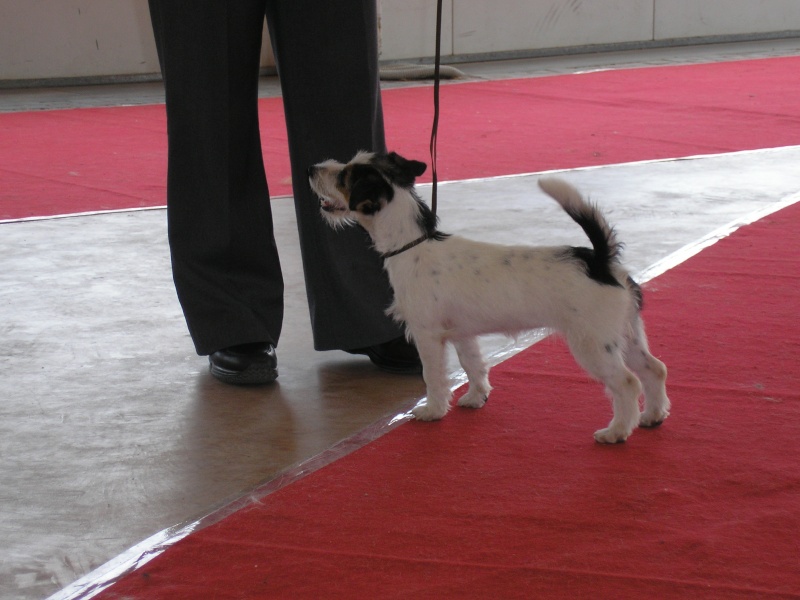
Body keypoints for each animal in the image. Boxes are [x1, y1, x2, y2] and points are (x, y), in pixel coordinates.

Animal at [310, 150, 672, 440]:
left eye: (344, 176)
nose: (312, 168)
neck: (411, 244)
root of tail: (599, 261)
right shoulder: (462, 334)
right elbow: (473, 365)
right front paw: (475, 398)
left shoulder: (427, 335)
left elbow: (433, 376)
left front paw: (433, 410)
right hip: (626, 335)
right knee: (654, 369)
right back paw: (652, 416)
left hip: (593, 345)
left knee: (627, 382)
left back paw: (617, 431)